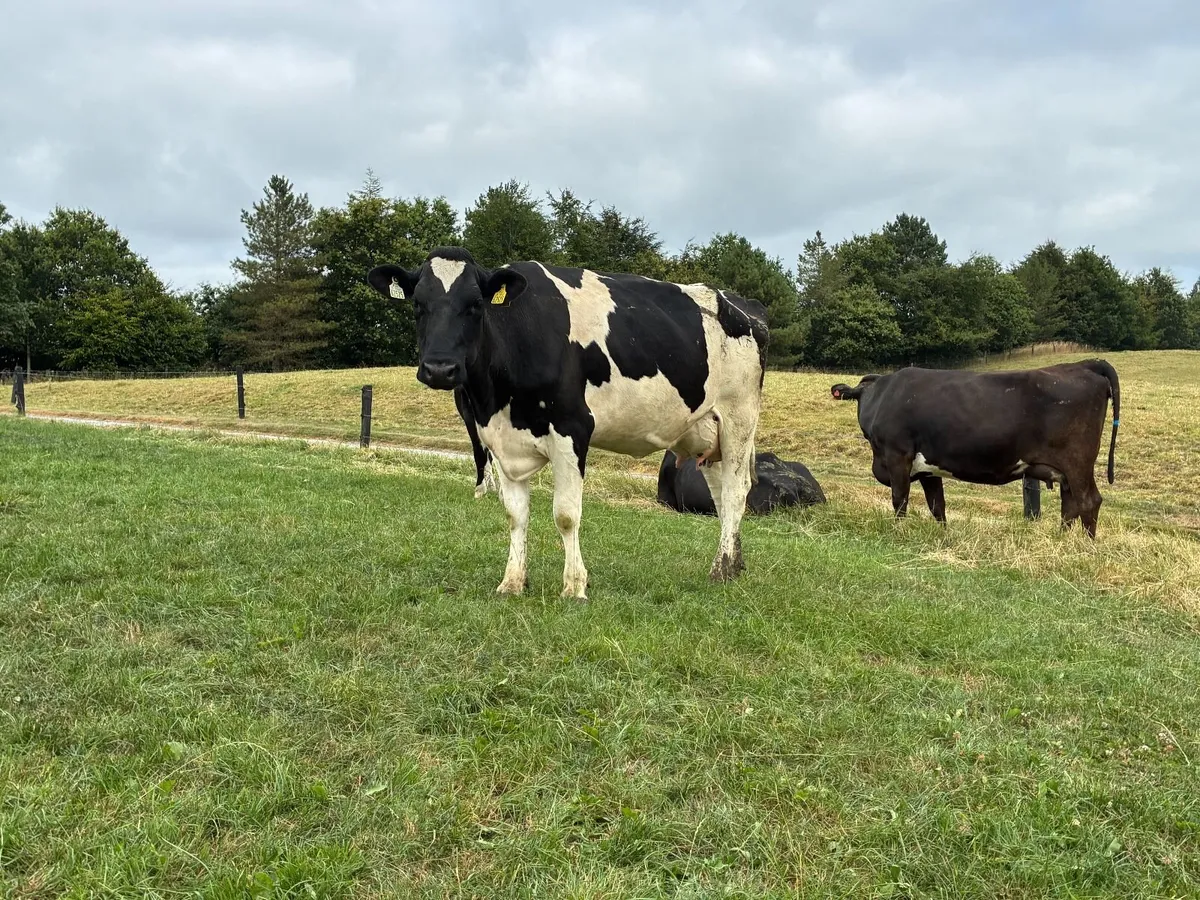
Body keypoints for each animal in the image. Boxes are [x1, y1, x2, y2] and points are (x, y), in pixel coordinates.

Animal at [367, 247, 769, 599]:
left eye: (476, 305)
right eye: (418, 305)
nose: (440, 369)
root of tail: (744, 305)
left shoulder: (571, 430)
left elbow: (565, 515)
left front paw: (575, 586)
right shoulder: (500, 440)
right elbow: (515, 515)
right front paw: (512, 582)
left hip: (739, 417)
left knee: (735, 492)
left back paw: (721, 569)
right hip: (704, 431)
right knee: (719, 494)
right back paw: (733, 564)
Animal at [830, 359, 1120, 536]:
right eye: (859, 397)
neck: (881, 397)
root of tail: (1083, 364)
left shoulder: (897, 456)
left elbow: (899, 499)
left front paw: (898, 532)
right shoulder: (928, 468)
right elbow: (937, 505)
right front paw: (943, 536)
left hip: (1078, 462)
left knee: (1088, 501)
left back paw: (1085, 547)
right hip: (1065, 471)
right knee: (1070, 505)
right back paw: (1061, 541)